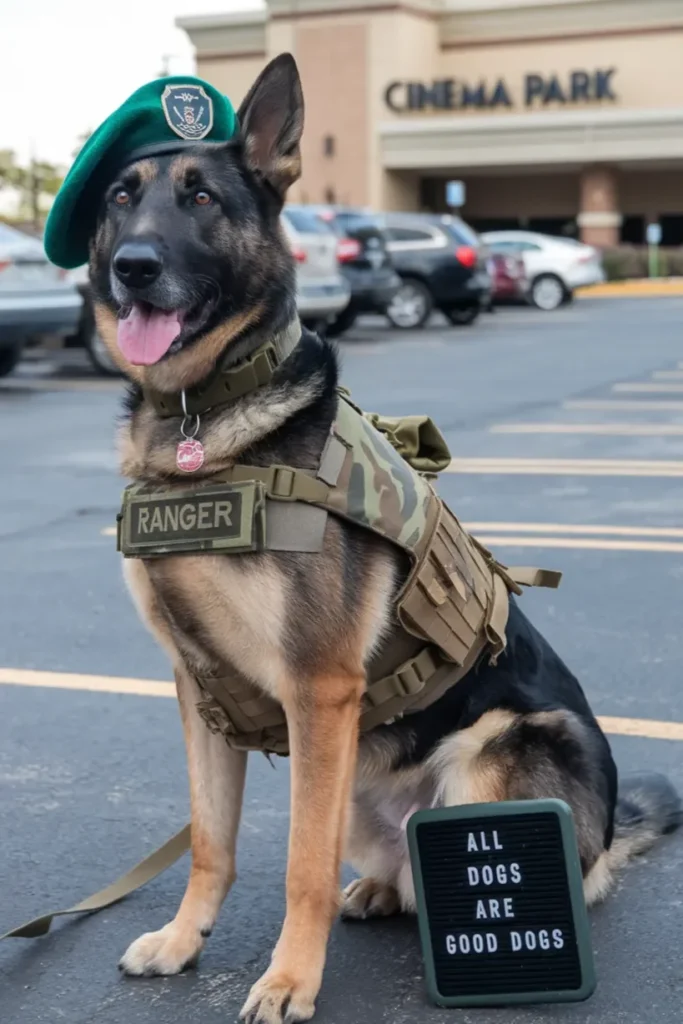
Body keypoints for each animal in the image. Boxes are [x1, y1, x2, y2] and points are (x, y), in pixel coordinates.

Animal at [89, 56, 679, 1024]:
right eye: (119, 198)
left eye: (202, 198)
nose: (132, 266)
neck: (202, 423)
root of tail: (600, 834)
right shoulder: (196, 688)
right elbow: (212, 840)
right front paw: (183, 941)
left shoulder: (318, 690)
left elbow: (299, 863)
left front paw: (289, 981)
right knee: (385, 870)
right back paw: (375, 890)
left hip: (495, 749)